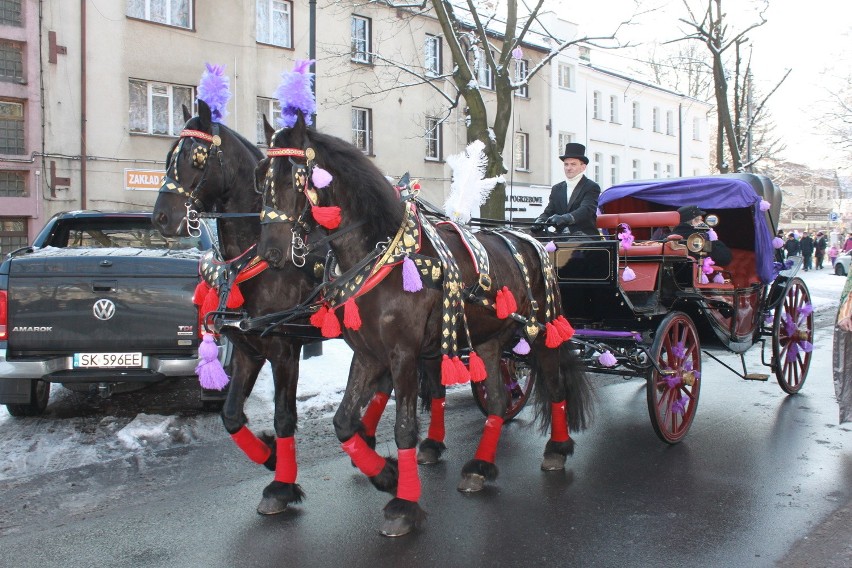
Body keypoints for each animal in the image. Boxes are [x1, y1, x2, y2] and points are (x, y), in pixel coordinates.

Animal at [151, 101, 398, 516]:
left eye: (194, 157)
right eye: (170, 156)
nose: (160, 217)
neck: (259, 264)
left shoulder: (284, 349)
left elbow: (284, 416)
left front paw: (281, 486)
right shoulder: (247, 350)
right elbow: (231, 415)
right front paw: (268, 456)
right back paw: (367, 441)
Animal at [256, 113, 596, 540]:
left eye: (294, 177)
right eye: (262, 176)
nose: (270, 252)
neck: (382, 256)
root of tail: (530, 238)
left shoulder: (403, 354)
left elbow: (404, 427)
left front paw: (403, 504)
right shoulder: (368, 354)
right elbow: (344, 422)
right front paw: (386, 474)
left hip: (541, 331)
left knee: (554, 385)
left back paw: (557, 449)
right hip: (489, 339)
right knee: (499, 401)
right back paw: (479, 467)